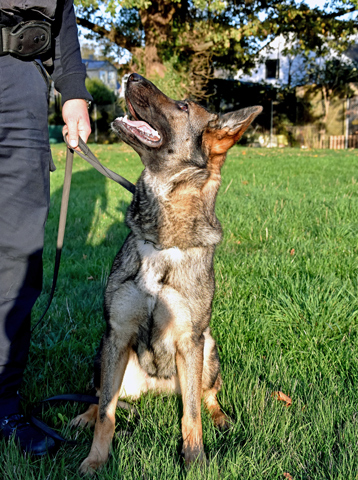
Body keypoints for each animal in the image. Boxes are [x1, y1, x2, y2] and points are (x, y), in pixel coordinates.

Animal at [73, 73, 262, 474]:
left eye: (184, 106)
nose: (131, 75)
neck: (162, 239)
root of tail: (159, 388)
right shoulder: (117, 333)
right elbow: (107, 413)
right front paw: (96, 460)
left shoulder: (190, 340)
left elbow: (191, 414)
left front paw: (196, 460)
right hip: (104, 354)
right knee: (101, 397)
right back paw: (83, 415)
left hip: (208, 350)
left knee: (205, 397)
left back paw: (221, 418)